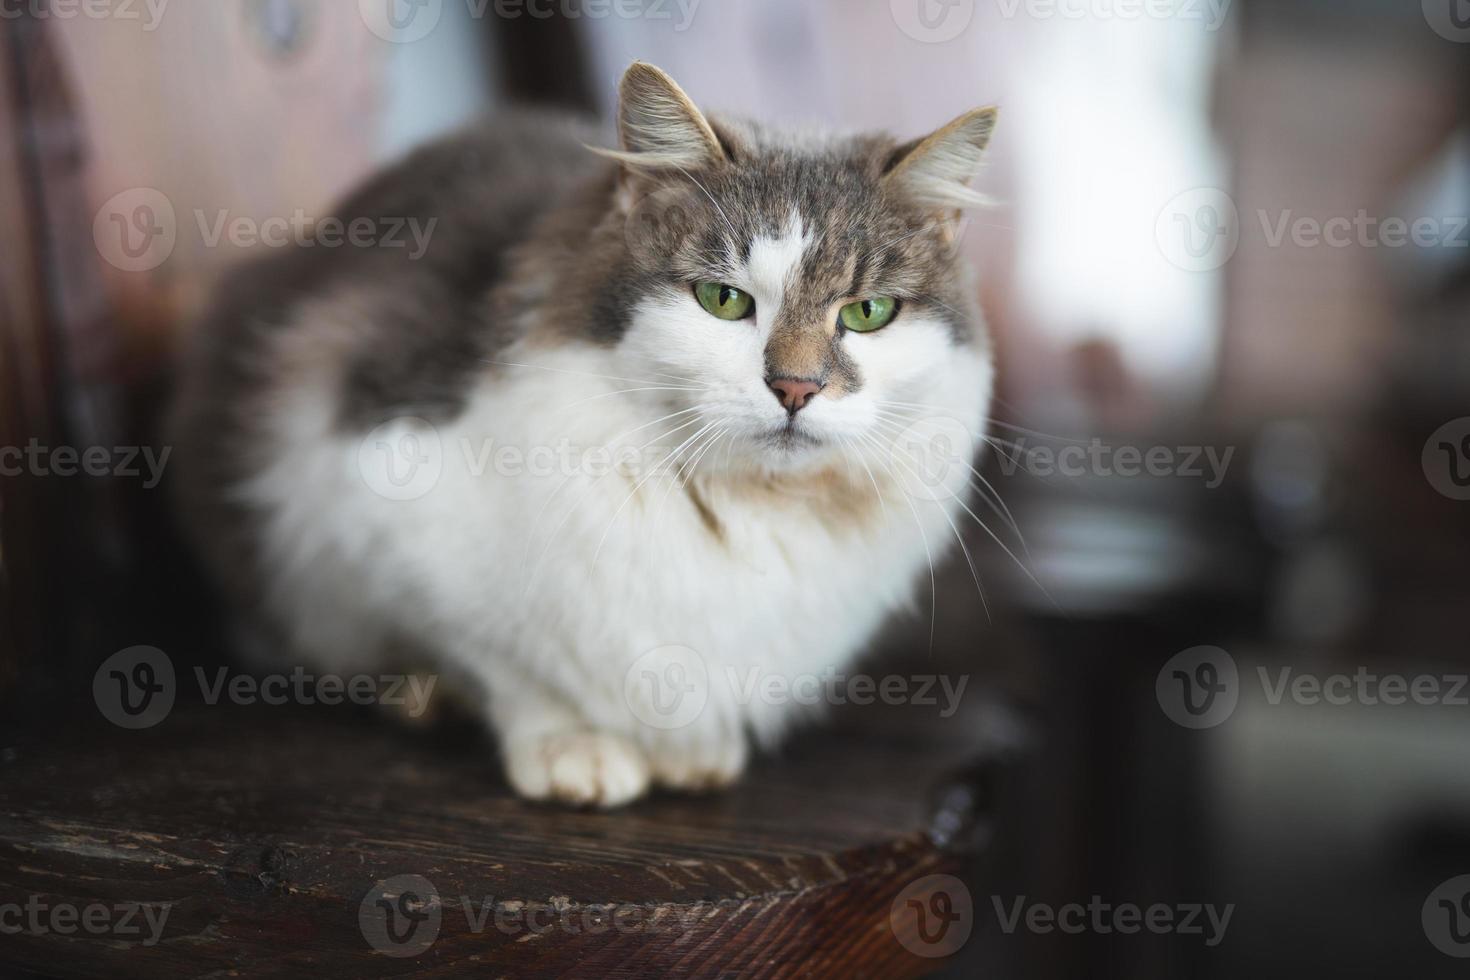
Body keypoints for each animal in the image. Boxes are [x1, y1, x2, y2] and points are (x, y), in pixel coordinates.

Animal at [171, 61, 999, 811]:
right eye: (723, 299)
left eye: (866, 313)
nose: (796, 389)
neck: (744, 503)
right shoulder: (371, 497)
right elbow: (514, 666)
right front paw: (575, 750)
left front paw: (692, 753)